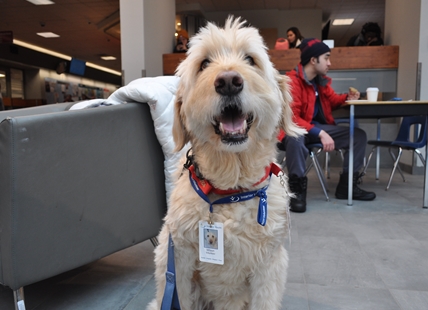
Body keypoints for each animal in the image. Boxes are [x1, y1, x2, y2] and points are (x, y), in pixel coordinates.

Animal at [147, 17, 304, 310]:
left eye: (251, 59)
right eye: (204, 63)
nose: (229, 81)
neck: (231, 188)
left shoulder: (269, 267)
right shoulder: (178, 260)